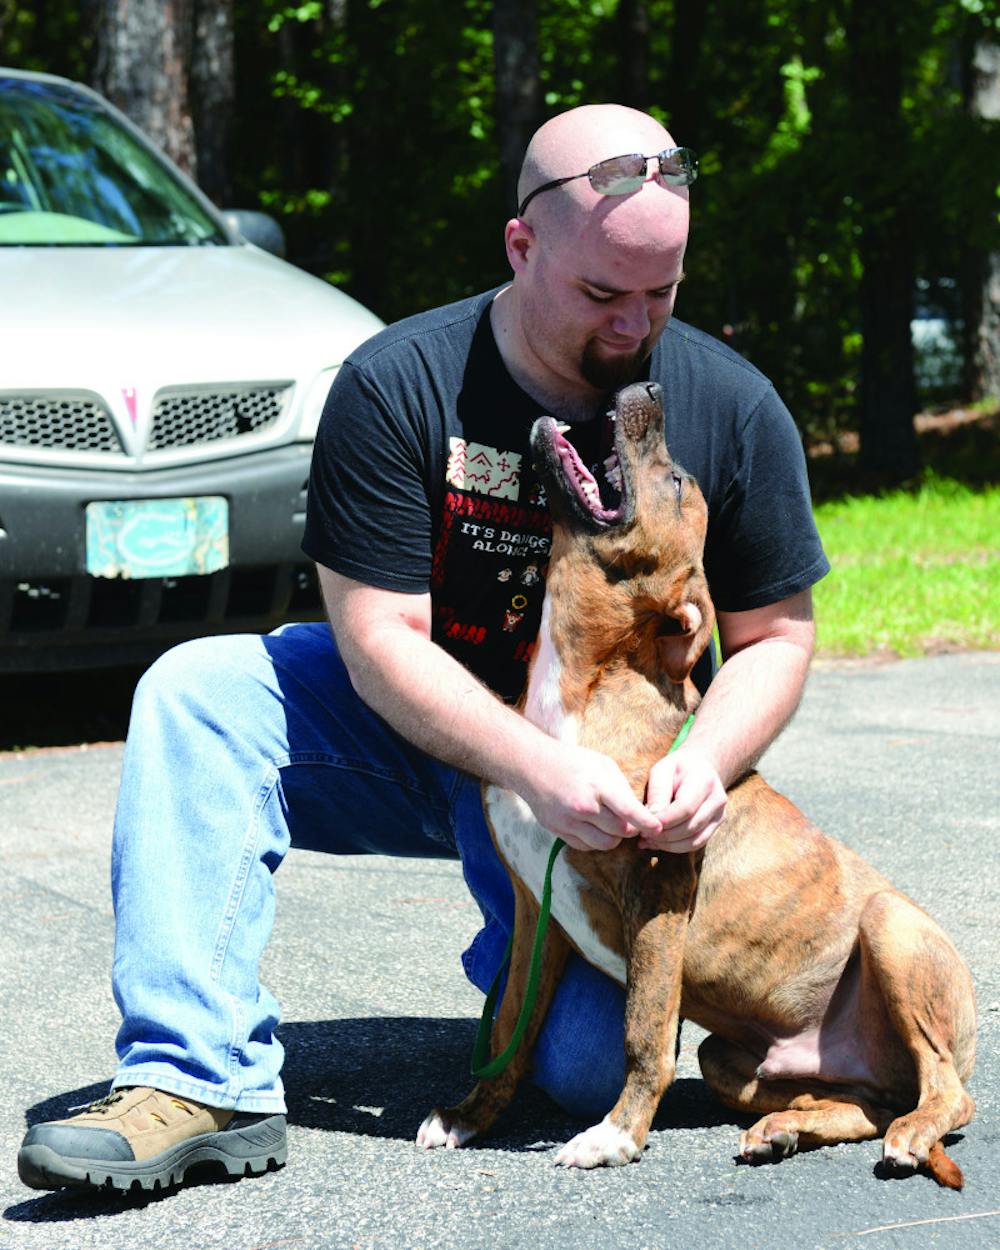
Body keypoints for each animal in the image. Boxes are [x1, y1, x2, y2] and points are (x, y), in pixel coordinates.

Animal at [415, 380, 975, 1180]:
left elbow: (642, 1032)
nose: (649, 389)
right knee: (862, 1104)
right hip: (734, 1060)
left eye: (677, 481)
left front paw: (617, 1136)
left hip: (891, 928)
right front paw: (468, 1115)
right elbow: (509, 1031)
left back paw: (912, 1133)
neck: (585, 687)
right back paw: (785, 1129)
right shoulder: (533, 908)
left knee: (946, 1089)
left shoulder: (658, 885)